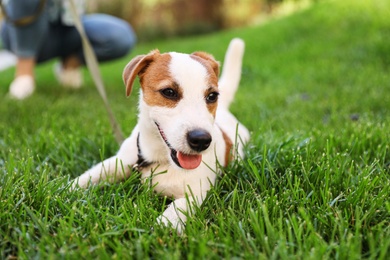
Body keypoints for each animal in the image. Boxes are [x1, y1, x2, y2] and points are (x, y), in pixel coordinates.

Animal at [73, 37, 250, 233]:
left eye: (212, 96)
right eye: (169, 92)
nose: (201, 140)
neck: (158, 159)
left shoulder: (195, 193)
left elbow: (176, 210)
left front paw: (162, 229)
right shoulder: (120, 161)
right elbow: (89, 176)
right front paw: (64, 187)